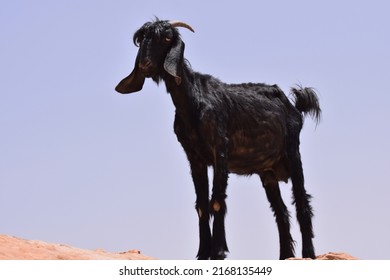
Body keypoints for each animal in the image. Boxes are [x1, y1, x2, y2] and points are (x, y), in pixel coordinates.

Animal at [115, 19, 320, 260]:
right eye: (141, 39)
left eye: (166, 38)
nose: (145, 65)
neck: (194, 104)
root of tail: (293, 107)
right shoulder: (195, 157)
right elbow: (202, 205)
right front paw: (203, 252)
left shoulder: (220, 149)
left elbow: (217, 201)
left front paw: (219, 251)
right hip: (267, 171)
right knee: (281, 211)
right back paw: (285, 255)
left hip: (292, 154)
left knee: (302, 203)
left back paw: (309, 254)